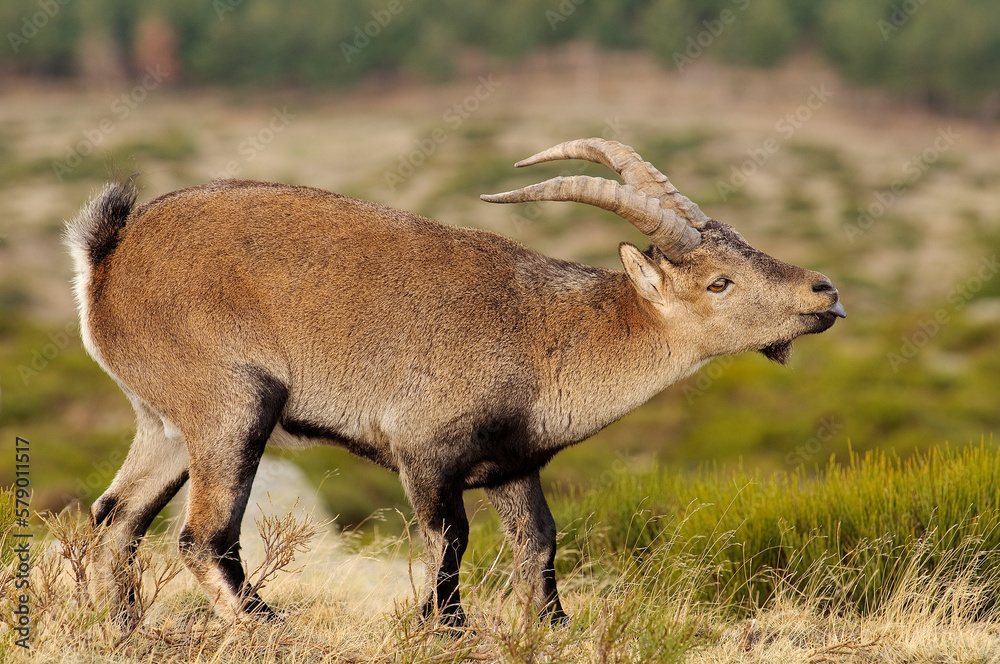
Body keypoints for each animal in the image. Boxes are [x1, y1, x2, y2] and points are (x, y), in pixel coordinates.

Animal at [66, 138, 844, 628]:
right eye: (719, 282)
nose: (825, 290)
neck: (547, 334)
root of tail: (110, 251)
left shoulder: (511, 465)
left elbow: (539, 544)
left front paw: (551, 627)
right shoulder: (424, 452)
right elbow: (450, 542)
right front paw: (447, 628)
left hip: (165, 423)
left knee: (115, 517)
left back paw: (127, 630)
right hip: (233, 407)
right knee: (203, 536)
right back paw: (269, 628)